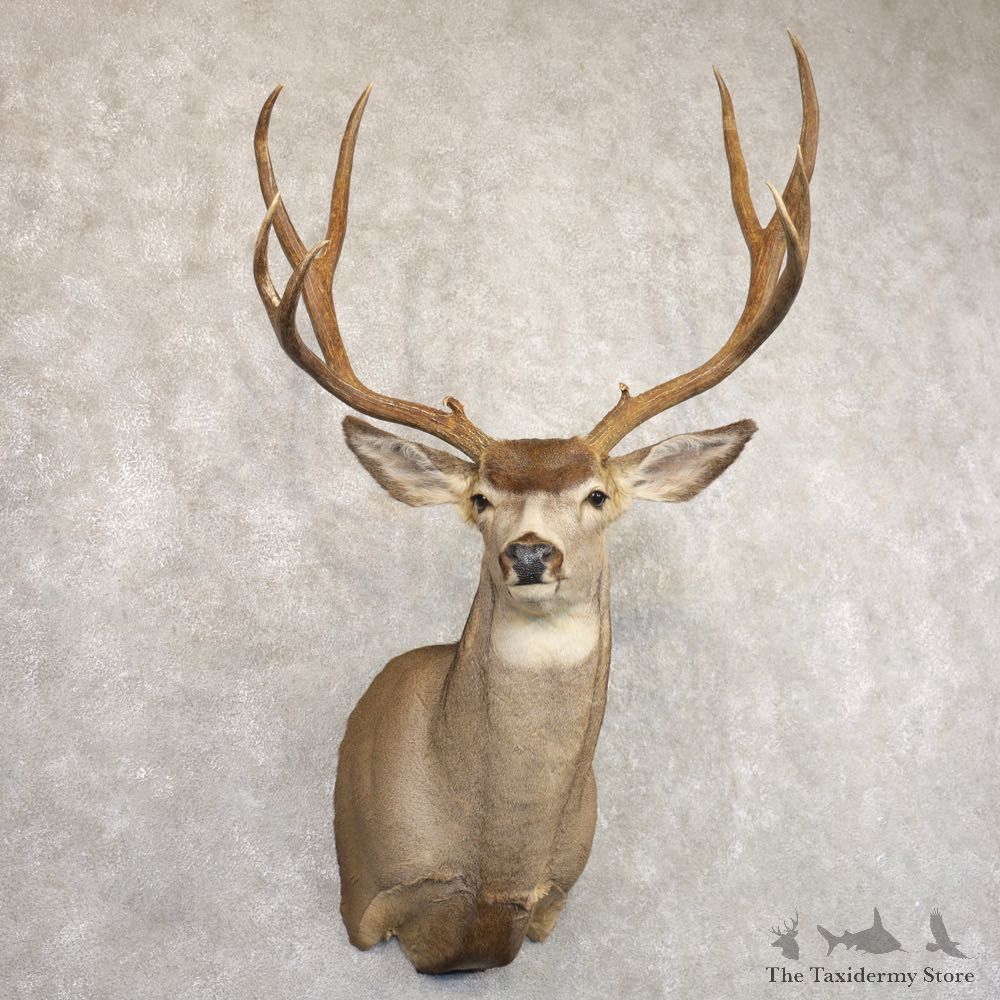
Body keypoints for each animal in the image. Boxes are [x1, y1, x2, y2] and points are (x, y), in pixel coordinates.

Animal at [252, 32, 818, 975]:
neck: (494, 865)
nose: (529, 553)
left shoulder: (552, 900)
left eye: (597, 494)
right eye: (481, 499)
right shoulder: (368, 899)